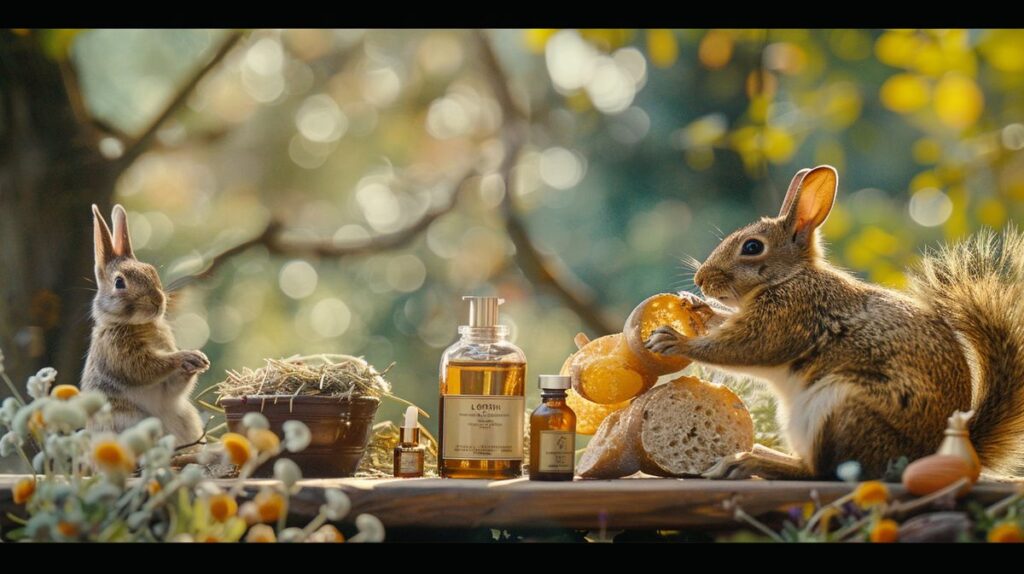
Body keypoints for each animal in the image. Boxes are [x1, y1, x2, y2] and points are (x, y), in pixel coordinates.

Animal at [81, 203, 207, 446]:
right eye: (119, 283)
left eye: (152, 271)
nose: (158, 301)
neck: (140, 324)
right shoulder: (119, 353)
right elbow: (146, 368)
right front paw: (187, 357)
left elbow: (173, 387)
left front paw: (197, 362)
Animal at [647, 164, 1024, 478]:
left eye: (752, 247)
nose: (701, 280)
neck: (791, 278)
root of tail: (933, 452)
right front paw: (698, 307)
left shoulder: (793, 316)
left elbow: (746, 347)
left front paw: (676, 341)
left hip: (843, 411)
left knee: (820, 471)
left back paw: (753, 461)